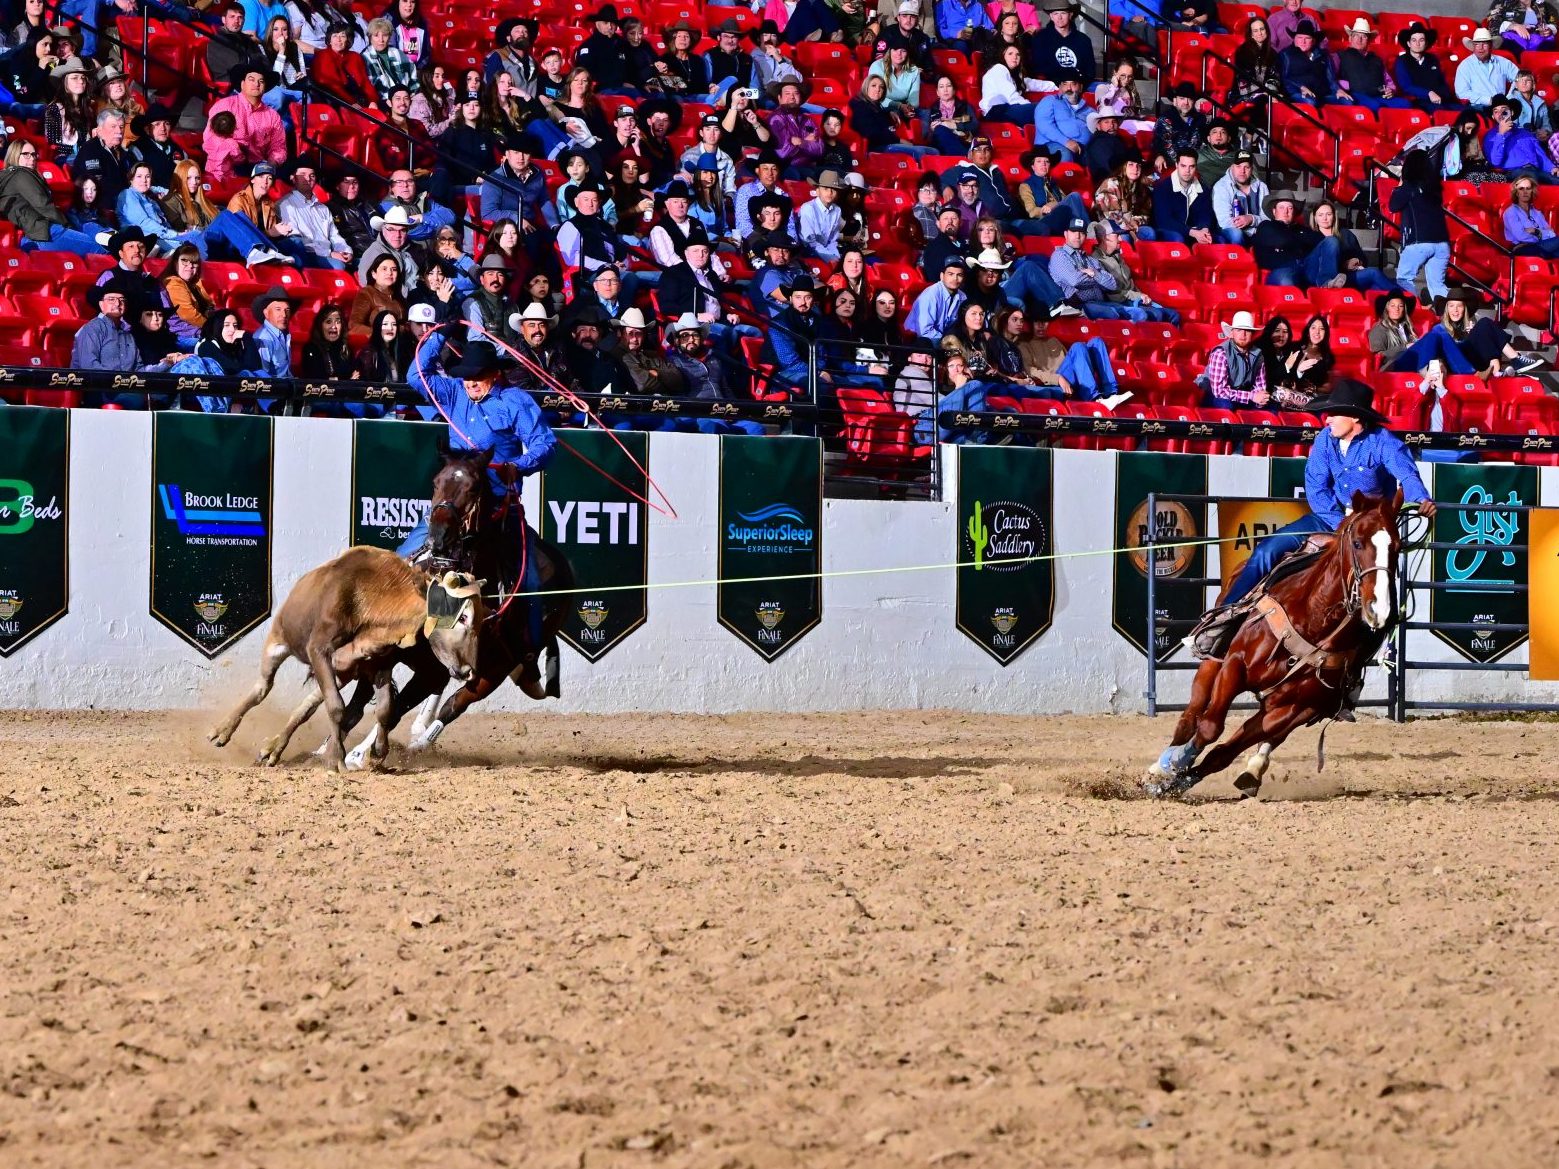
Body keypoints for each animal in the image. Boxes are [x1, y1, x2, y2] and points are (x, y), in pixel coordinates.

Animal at [335, 442, 573, 763]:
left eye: (473, 488)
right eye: (436, 482)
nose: (438, 536)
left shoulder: (447, 669)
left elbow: (395, 710)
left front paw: (360, 754)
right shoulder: (397, 654)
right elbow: (360, 707)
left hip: (498, 667)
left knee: (455, 703)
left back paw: (417, 742)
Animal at [1141, 489, 1409, 804]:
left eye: (1398, 547)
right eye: (1357, 543)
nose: (1380, 609)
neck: (1313, 619)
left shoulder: (1293, 708)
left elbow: (1222, 754)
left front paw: (1178, 782)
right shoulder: (1235, 666)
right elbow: (1209, 727)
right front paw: (1172, 768)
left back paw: (1248, 773)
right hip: (1213, 662)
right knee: (1191, 716)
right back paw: (1161, 764)